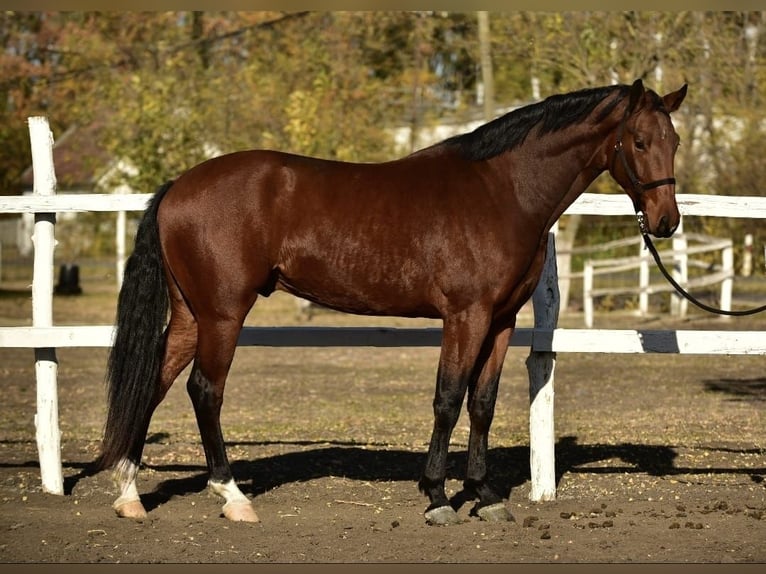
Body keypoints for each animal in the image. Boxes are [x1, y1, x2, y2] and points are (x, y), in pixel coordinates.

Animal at [97, 78, 687, 525]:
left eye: (674, 140)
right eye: (638, 141)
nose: (665, 222)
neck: (502, 191)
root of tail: (177, 187)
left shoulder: (501, 321)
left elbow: (483, 403)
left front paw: (485, 497)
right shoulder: (465, 316)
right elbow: (448, 398)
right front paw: (437, 497)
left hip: (191, 316)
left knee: (153, 383)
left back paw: (129, 494)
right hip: (223, 314)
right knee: (205, 390)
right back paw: (233, 497)